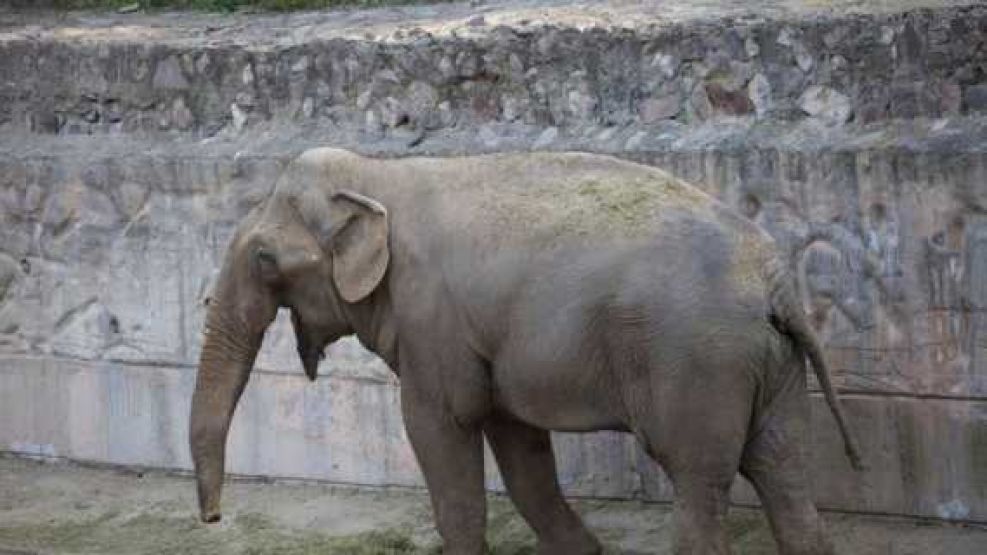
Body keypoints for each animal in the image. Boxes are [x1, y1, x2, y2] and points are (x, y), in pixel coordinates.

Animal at [189, 148, 863, 554]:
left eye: (264, 259)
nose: (213, 520)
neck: (379, 175)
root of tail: (777, 284)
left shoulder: (431, 323)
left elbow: (439, 431)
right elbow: (518, 444)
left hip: (699, 361)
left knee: (701, 477)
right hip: (770, 365)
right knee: (784, 470)